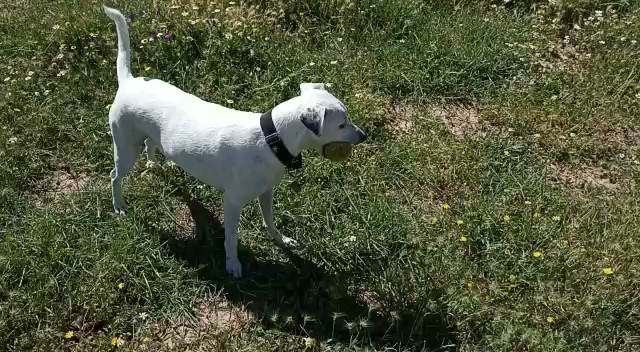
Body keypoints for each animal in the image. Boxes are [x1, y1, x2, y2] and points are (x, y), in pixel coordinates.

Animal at [104, 6, 364, 278]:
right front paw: (232, 264)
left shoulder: (266, 192)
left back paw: (154, 164)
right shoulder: (232, 202)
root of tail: (129, 81)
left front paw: (281, 240)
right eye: (342, 124)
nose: (364, 136)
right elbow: (231, 238)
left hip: (146, 137)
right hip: (125, 150)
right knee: (115, 176)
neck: (271, 138)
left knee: (150, 144)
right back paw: (119, 205)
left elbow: (269, 221)